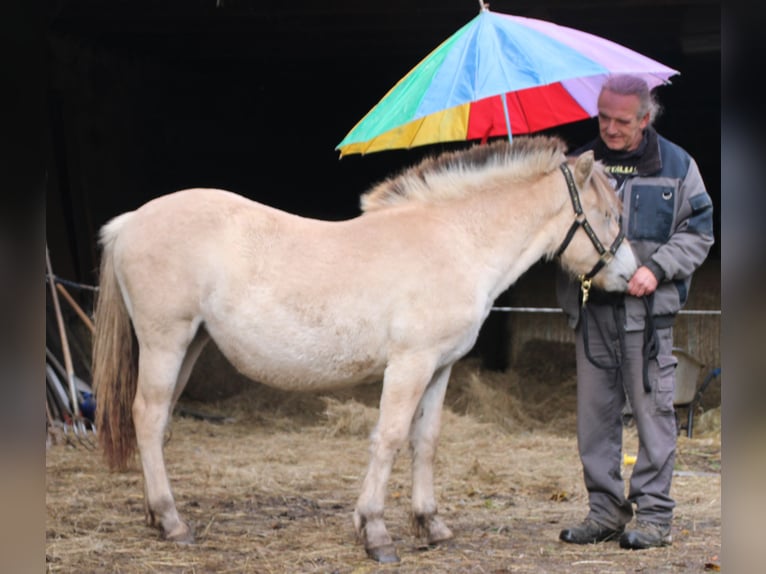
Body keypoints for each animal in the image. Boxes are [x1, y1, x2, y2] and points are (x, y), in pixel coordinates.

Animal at [93, 135, 640, 564]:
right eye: (608, 215)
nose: (632, 276)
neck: (455, 242)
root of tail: (129, 222)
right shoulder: (409, 364)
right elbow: (390, 438)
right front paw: (375, 533)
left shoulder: (439, 368)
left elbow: (426, 441)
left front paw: (430, 525)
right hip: (166, 341)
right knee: (147, 416)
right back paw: (172, 523)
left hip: (190, 345)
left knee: (160, 420)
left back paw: (158, 516)